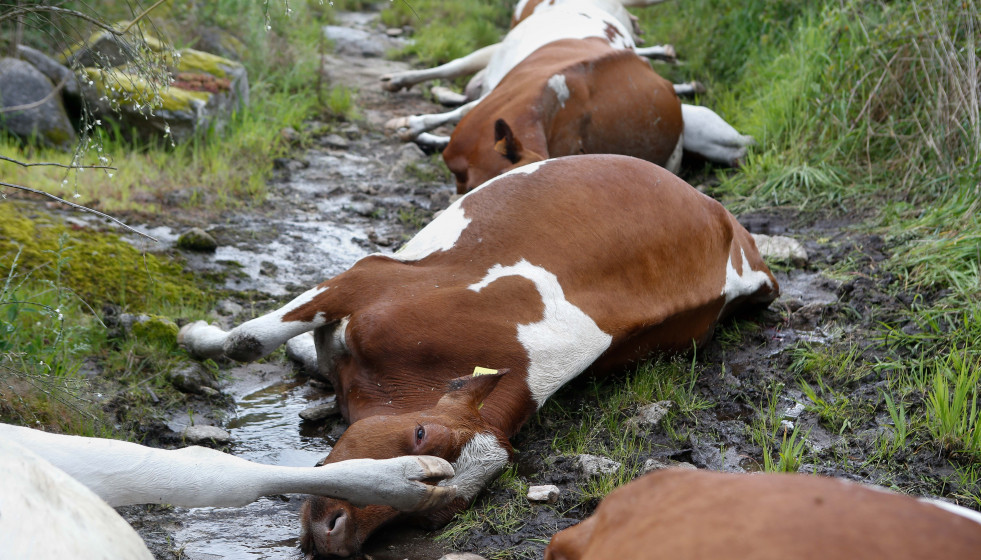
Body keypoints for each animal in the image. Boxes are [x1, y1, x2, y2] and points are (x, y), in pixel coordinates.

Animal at [178, 154, 780, 557]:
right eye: (421, 434)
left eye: (434, 518)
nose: (336, 535)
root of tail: (736, 233)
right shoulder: (372, 276)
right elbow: (248, 340)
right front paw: (197, 335)